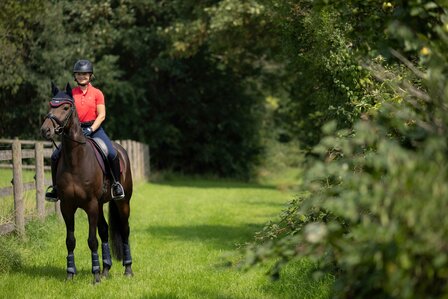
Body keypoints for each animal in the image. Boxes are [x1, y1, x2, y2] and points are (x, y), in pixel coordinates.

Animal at [41, 82, 133, 284]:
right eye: (51, 105)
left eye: (66, 107)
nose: (45, 130)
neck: (76, 160)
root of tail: (120, 149)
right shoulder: (67, 206)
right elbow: (70, 240)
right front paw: (70, 274)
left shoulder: (90, 205)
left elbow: (92, 240)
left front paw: (95, 275)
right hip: (99, 205)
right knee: (104, 230)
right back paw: (106, 270)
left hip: (122, 202)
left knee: (124, 230)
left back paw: (128, 269)